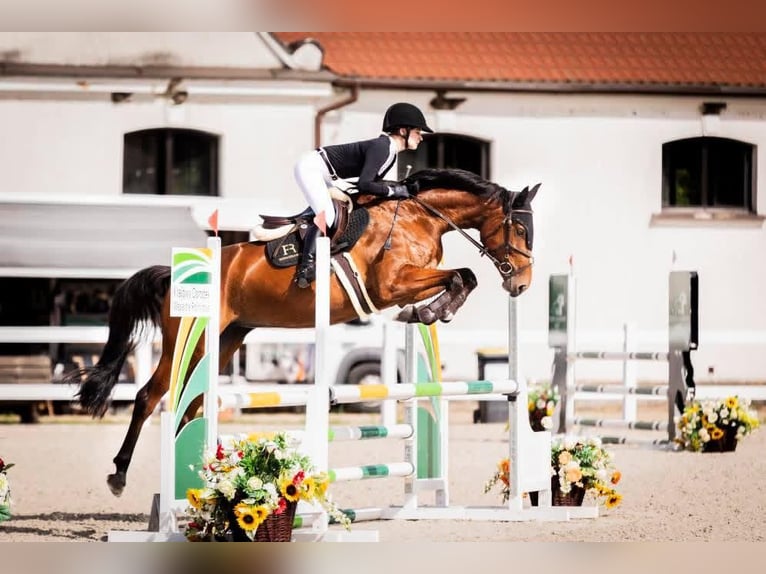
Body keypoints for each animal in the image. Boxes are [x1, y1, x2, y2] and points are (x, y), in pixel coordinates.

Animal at [61, 168, 539, 496]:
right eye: (519, 228)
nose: (521, 285)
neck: (418, 216)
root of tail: (173, 272)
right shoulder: (391, 285)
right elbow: (460, 276)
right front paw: (428, 312)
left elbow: (463, 278)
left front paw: (431, 311)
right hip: (187, 339)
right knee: (149, 396)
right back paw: (119, 475)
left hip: (225, 340)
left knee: (191, 404)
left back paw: (202, 478)